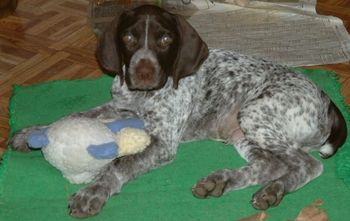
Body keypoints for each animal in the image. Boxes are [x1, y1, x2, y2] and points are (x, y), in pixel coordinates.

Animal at [9, 4, 346, 218]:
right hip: (243, 132)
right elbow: (76, 117)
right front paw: (33, 134)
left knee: (308, 166)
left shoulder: (162, 143)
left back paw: (274, 190)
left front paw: (94, 192)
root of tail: (327, 99)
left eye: (165, 39)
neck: (142, 98)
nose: (143, 71)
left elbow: (119, 164)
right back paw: (222, 182)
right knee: (270, 165)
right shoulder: (118, 106)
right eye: (129, 38)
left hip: (256, 114)